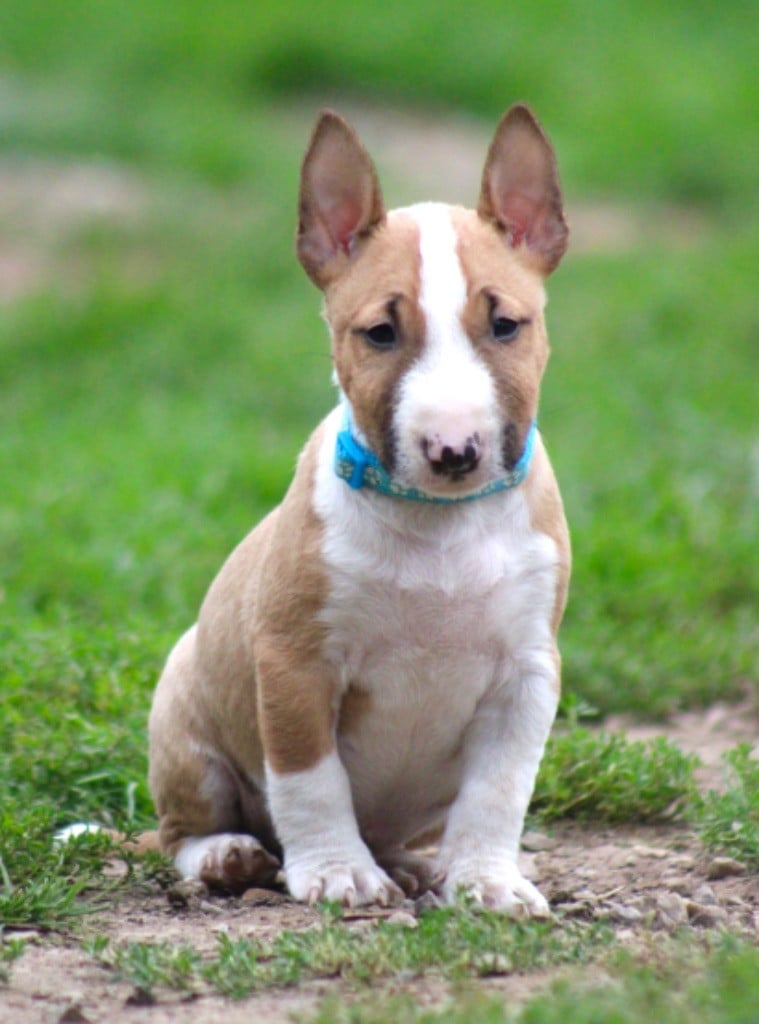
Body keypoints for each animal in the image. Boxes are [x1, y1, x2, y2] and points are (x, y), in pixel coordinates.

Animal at [148, 103, 569, 917]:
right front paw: (337, 872)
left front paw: (487, 880)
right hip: (184, 718)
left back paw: (407, 865)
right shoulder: (294, 661)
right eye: (379, 333)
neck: (440, 525)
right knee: (181, 830)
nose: (453, 450)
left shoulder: (528, 672)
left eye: (506, 325)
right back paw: (228, 855)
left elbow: (499, 789)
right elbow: (310, 779)